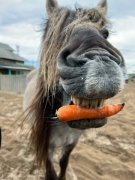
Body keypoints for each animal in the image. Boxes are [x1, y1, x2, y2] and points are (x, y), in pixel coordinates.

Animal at [23, 0, 126, 180]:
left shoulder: (71, 143)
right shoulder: (47, 147)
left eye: (106, 33)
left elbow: (63, 163)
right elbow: (50, 170)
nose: (100, 60)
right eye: (58, 33)